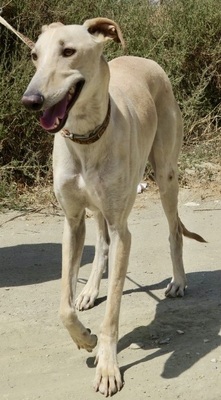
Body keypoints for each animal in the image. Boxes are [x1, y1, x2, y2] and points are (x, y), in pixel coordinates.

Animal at [21, 18, 205, 396]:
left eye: (69, 51)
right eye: (34, 55)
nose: (30, 100)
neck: (87, 138)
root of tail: (142, 59)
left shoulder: (124, 231)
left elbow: (113, 313)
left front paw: (106, 367)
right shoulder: (73, 221)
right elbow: (64, 307)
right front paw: (84, 338)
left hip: (165, 175)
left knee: (174, 232)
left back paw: (178, 282)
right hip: (97, 208)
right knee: (101, 244)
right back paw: (90, 290)